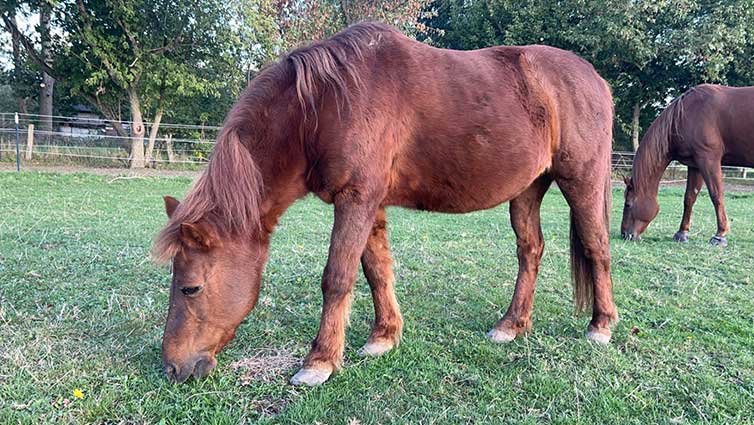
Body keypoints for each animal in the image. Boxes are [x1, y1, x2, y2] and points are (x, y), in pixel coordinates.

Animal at [152, 22, 616, 387]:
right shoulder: (370, 204)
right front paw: (384, 337)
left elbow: (337, 277)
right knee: (530, 251)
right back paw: (511, 326)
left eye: (190, 287)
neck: (324, 105)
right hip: (527, 189)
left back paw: (601, 326)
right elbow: (376, 270)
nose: (173, 368)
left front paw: (320, 362)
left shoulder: (355, 200)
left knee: (597, 247)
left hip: (582, 181)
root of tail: (595, 79)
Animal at [621, 84, 754, 246]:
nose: (624, 234)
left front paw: (720, 235)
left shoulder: (708, 160)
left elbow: (716, 195)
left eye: (628, 204)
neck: (685, 114)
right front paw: (682, 233)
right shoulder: (695, 165)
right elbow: (690, 197)